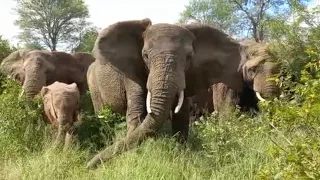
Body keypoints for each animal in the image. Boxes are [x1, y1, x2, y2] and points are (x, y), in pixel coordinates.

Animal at [84, 18, 242, 169]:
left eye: (189, 57)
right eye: (145, 56)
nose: (89, 165)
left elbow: (181, 116)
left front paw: (180, 156)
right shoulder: (133, 76)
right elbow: (137, 115)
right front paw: (135, 156)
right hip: (93, 85)